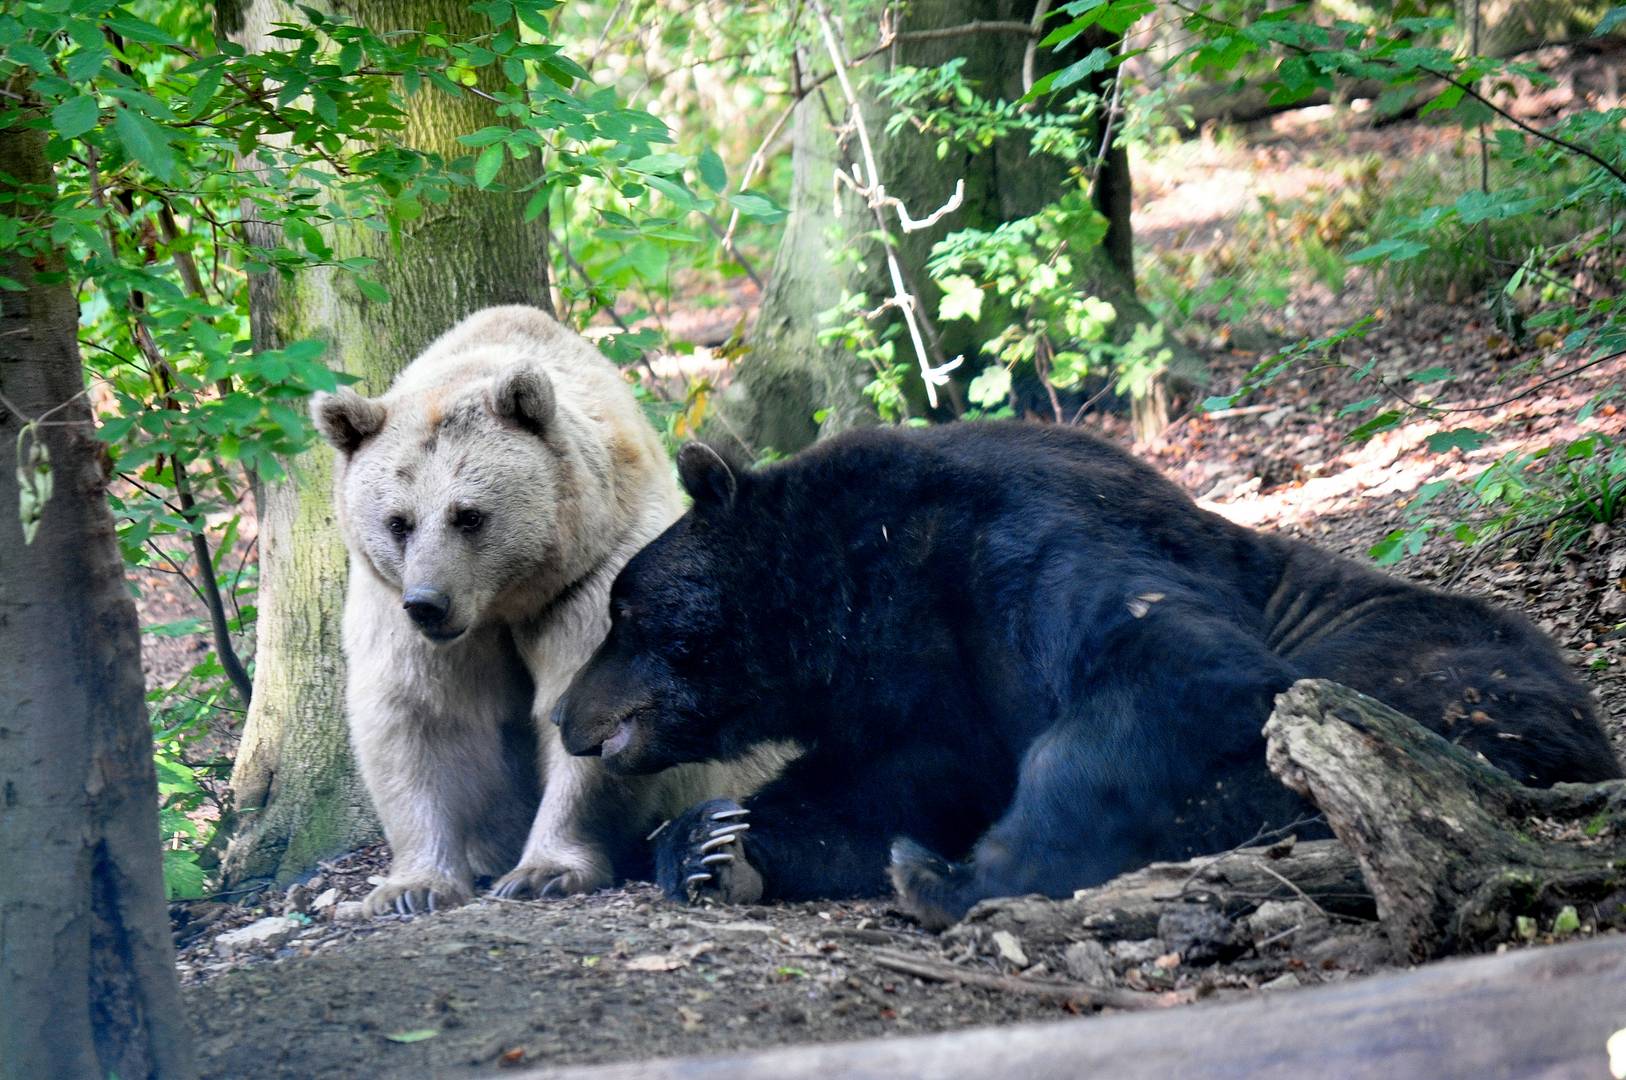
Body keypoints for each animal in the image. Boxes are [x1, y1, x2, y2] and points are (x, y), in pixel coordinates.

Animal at [312, 305, 786, 917]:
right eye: (398, 522)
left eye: (469, 514)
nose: (429, 604)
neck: (507, 598)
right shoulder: (395, 610)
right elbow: (418, 717)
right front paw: (412, 886)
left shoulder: (592, 583)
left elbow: (590, 709)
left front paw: (544, 870)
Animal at [552, 422, 1619, 930]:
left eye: (623, 610)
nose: (565, 712)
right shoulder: (921, 697)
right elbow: (876, 789)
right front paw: (711, 842)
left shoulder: (1008, 548)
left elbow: (1165, 662)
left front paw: (962, 874)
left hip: (1415, 663)